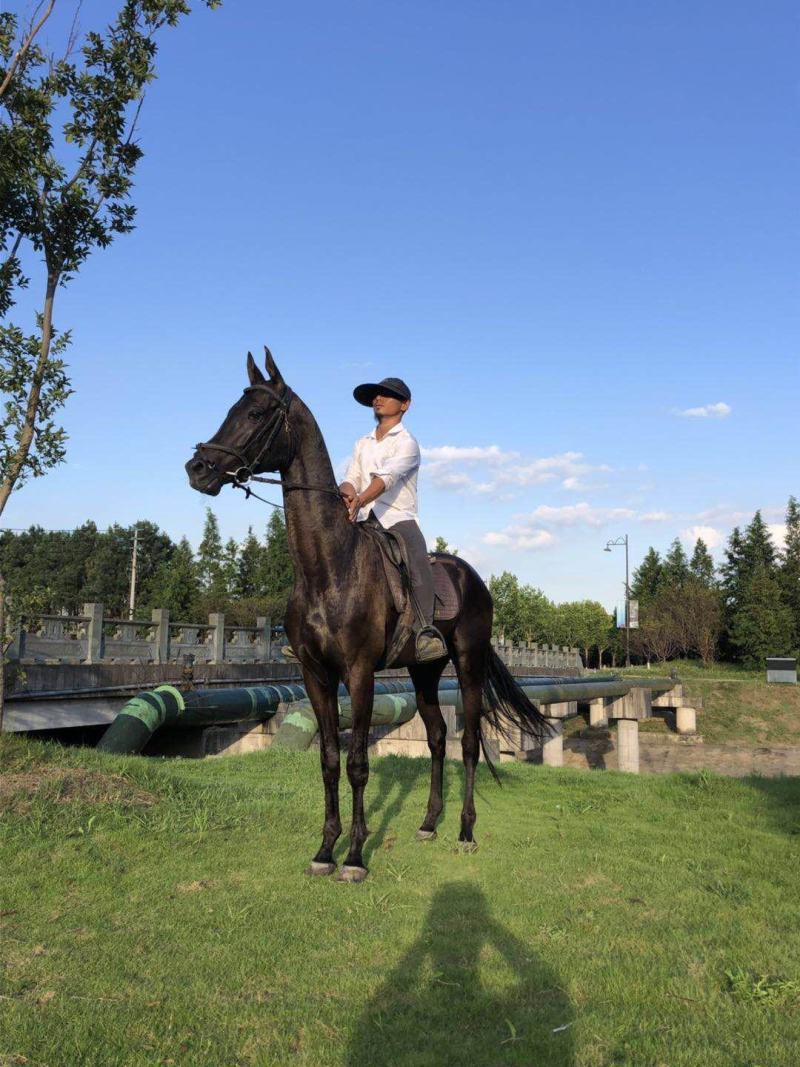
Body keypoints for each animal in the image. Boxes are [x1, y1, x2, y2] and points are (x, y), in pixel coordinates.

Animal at [185, 347, 550, 883]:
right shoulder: (316, 674)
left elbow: (358, 762)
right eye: (233, 408)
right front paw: (324, 849)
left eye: (254, 413)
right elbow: (329, 761)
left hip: (468, 663)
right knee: (437, 737)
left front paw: (355, 857)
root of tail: (472, 577)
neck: (329, 567)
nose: (198, 468)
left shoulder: (359, 673)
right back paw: (428, 823)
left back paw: (465, 831)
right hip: (424, 670)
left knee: (467, 742)